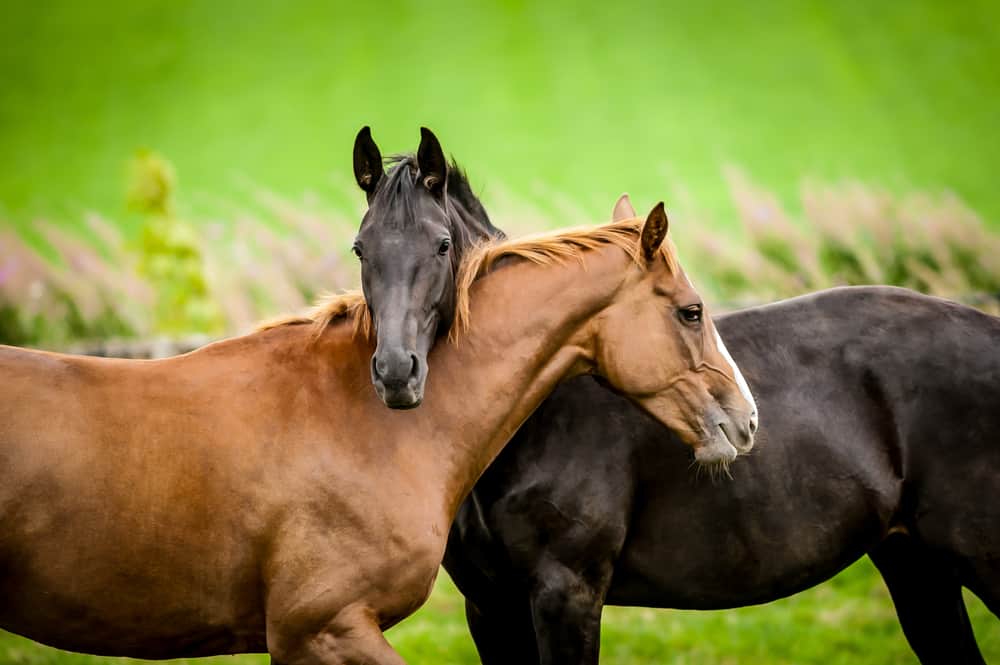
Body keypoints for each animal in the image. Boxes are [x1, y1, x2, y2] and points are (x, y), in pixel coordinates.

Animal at [347, 173, 997, 663]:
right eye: (362, 249)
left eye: (442, 246)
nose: (397, 372)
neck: (532, 424)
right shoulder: (489, 607)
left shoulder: (566, 596)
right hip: (916, 567)